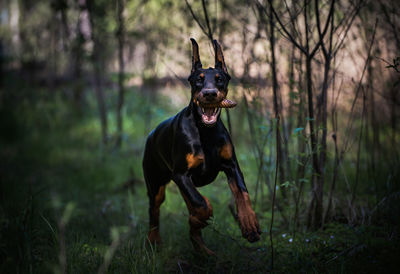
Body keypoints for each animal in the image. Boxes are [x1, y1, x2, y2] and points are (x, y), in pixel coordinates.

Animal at [142, 38, 260, 255]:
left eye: (220, 79)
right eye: (199, 79)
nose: (210, 94)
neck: (206, 132)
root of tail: (152, 134)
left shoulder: (231, 165)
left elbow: (243, 194)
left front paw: (250, 225)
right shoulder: (181, 174)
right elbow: (202, 205)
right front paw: (202, 215)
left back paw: (202, 249)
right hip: (156, 184)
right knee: (154, 212)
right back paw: (154, 242)